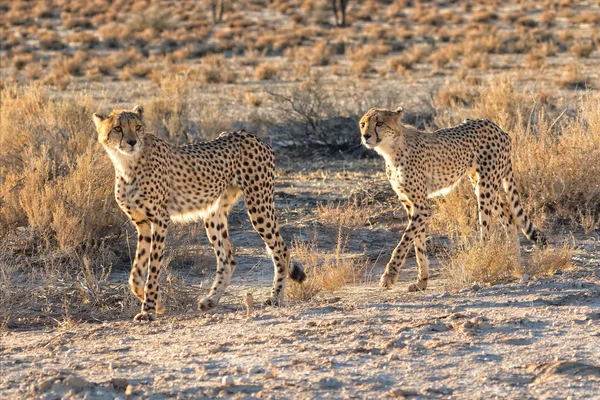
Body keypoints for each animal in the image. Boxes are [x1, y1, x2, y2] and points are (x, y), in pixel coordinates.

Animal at [96, 106, 310, 322]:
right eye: (118, 128)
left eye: (138, 127)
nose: (132, 142)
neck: (127, 163)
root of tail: (249, 134)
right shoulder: (142, 224)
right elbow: (135, 272)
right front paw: (155, 303)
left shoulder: (160, 220)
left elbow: (153, 267)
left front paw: (149, 308)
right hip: (213, 215)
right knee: (227, 259)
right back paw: (211, 300)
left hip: (259, 205)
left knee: (281, 250)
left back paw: (275, 297)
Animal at [358, 108, 548, 292]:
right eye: (363, 124)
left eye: (380, 123)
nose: (366, 136)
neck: (391, 149)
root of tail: (498, 128)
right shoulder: (411, 205)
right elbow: (418, 244)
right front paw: (421, 281)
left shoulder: (422, 207)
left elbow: (404, 241)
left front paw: (389, 276)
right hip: (481, 183)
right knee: (509, 216)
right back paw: (514, 262)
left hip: (485, 187)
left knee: (487, 228)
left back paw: (483, 261)